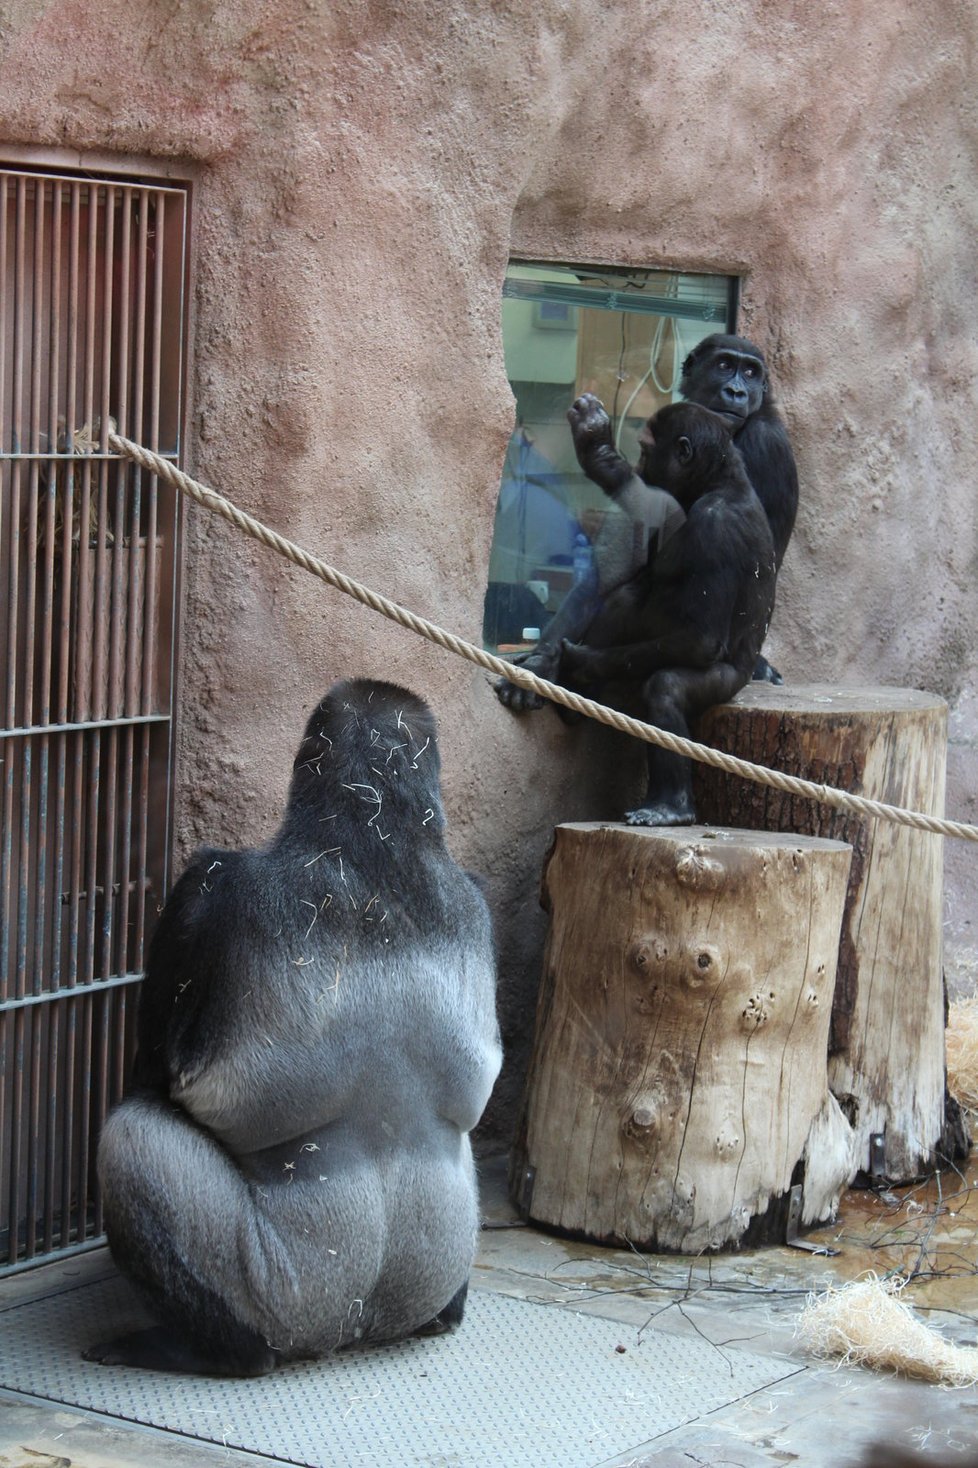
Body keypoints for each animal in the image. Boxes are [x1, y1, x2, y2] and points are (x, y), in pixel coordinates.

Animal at [82, 681, 499, 1379]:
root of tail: (354, 1330)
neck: (374, 838)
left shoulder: (206, 885)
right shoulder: (476, 897)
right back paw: (445, 1314)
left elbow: (154, 1076)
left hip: (287, 1303)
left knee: (135, 1137)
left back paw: (207, 1349)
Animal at [499, 402, 775, 827]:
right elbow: (607, 574)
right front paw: (541, 662)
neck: (717, 482)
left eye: (646, 450)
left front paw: (574, 660)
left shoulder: (715, 527)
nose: (641, 467)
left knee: (665, 686)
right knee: (623, 598)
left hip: (727, 683)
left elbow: (701, 638)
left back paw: (671, 806)